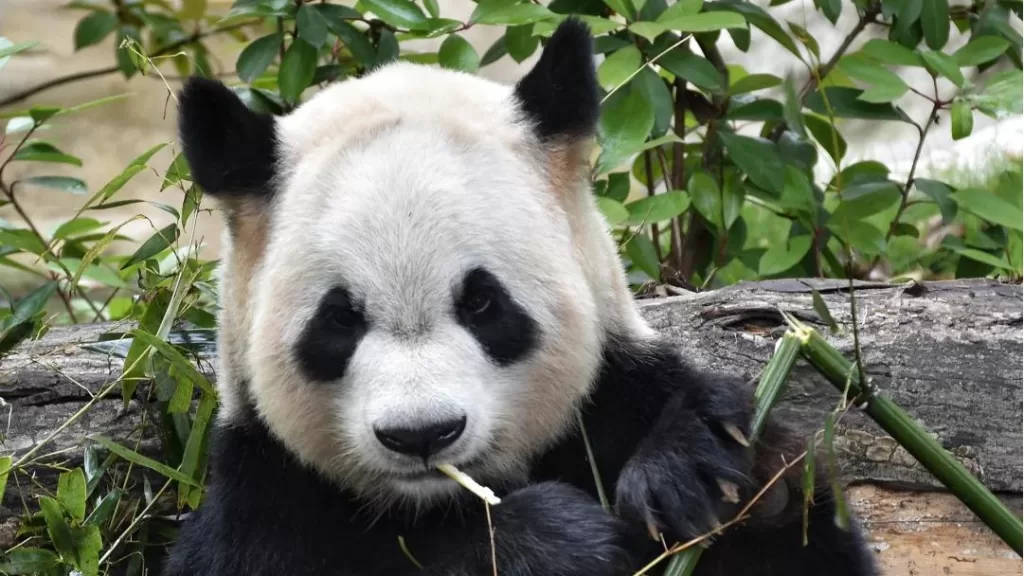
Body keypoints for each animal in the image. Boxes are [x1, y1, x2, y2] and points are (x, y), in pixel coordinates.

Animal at [165, 19, 878, 576]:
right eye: (340, 318)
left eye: (482, 304)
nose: (422, 435)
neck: (439, 503)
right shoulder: (263, 497)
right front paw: (553, 542)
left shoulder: (611, 393)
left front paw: (700, 470)